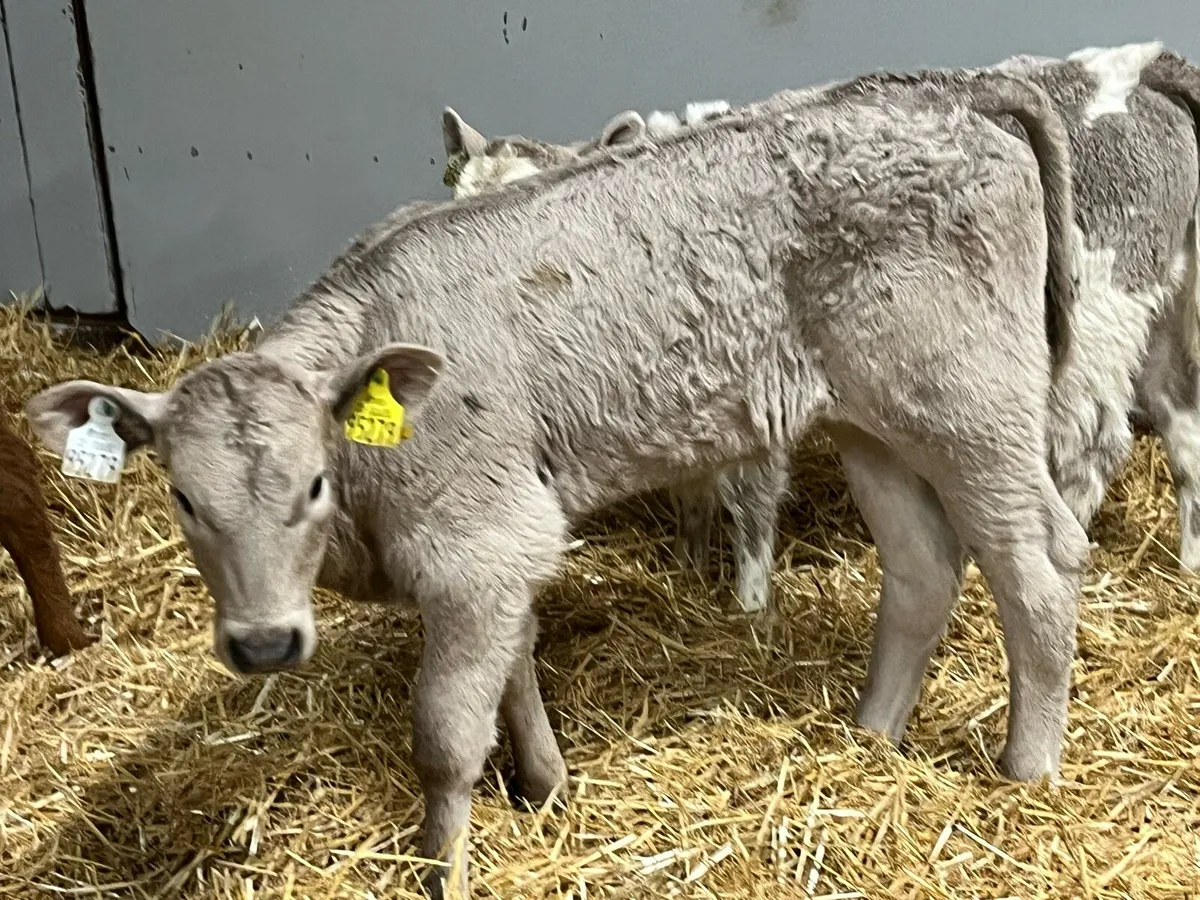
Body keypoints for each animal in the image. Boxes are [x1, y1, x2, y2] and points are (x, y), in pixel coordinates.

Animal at [26, 68, 1082, 896]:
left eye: (314, 485)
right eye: (182, 498)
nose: (262, 644)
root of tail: (946, 93)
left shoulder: (477, 544)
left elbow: (446, 736)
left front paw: (443, 871)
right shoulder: (504, 541)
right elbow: (517, 666)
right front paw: (545, 787)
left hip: (972, 403)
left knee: (1039, 569)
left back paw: (1025, 774)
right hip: (873, 420)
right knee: (922, 570)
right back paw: (870, 738)